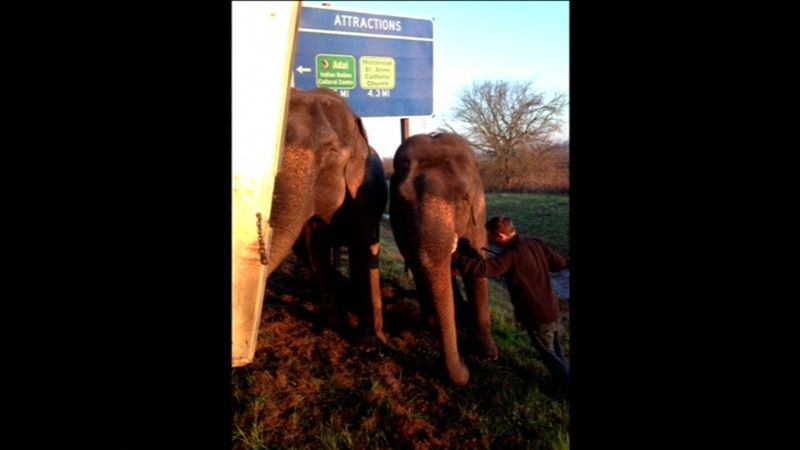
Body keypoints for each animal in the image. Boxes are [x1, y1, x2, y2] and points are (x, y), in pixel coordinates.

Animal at [266, 87, 388, 352]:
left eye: (331, 150)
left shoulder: (367, 192)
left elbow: (366, 246)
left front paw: (371, 345)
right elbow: (314, 247)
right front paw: (334, 328)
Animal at [389, 132, 498, 386]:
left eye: (464, 199)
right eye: (401, 202)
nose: (465, 366)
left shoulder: (479, 212)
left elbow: (478, 267)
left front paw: (487, 355)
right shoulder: (399, 226)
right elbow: (418, 264)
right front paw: (432, 327)